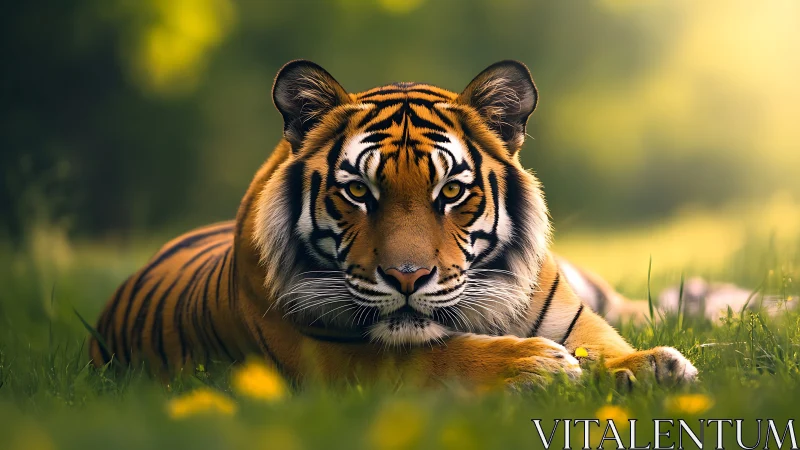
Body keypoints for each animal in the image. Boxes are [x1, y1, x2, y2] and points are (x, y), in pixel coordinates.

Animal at [90, 60, 698, 388]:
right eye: (358, 191)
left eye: (451, 191)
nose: (408, 278)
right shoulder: (327, 355)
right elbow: (433, 356)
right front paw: (533, 367)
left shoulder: (575, 320)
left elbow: (607, 348)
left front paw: (659, 367)